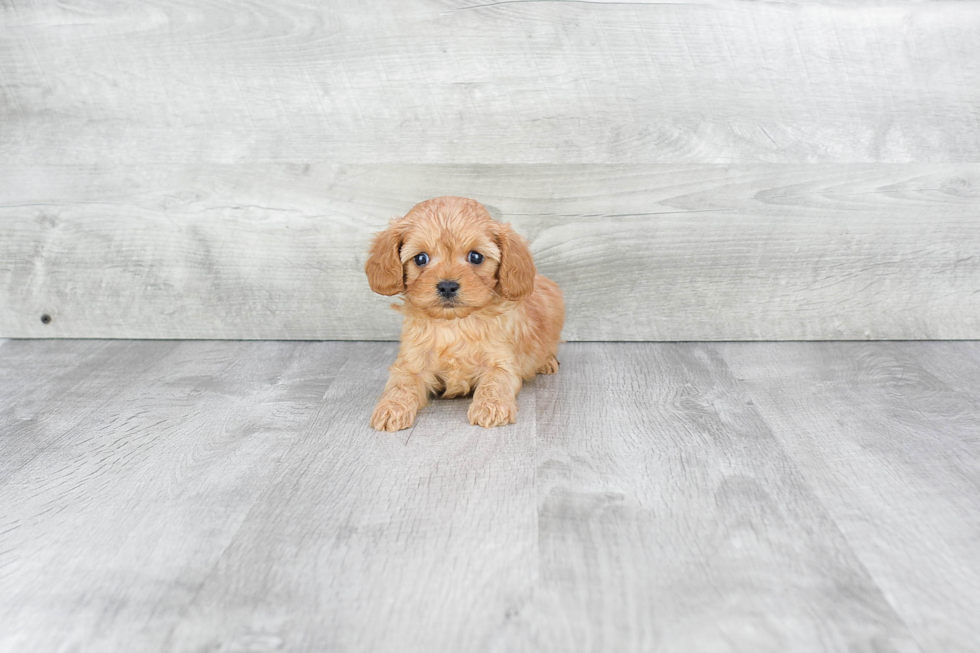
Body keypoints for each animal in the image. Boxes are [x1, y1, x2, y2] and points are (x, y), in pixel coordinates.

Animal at [366, 196, 568, 430]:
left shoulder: (501, 361)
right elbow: (401, 385)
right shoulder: (411, 362)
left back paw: (547, 362)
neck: (454, 324)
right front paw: (391, 408)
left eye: (475, 257)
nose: (447, 286)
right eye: (420, 259)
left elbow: (494, 382)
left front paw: (490, 406)